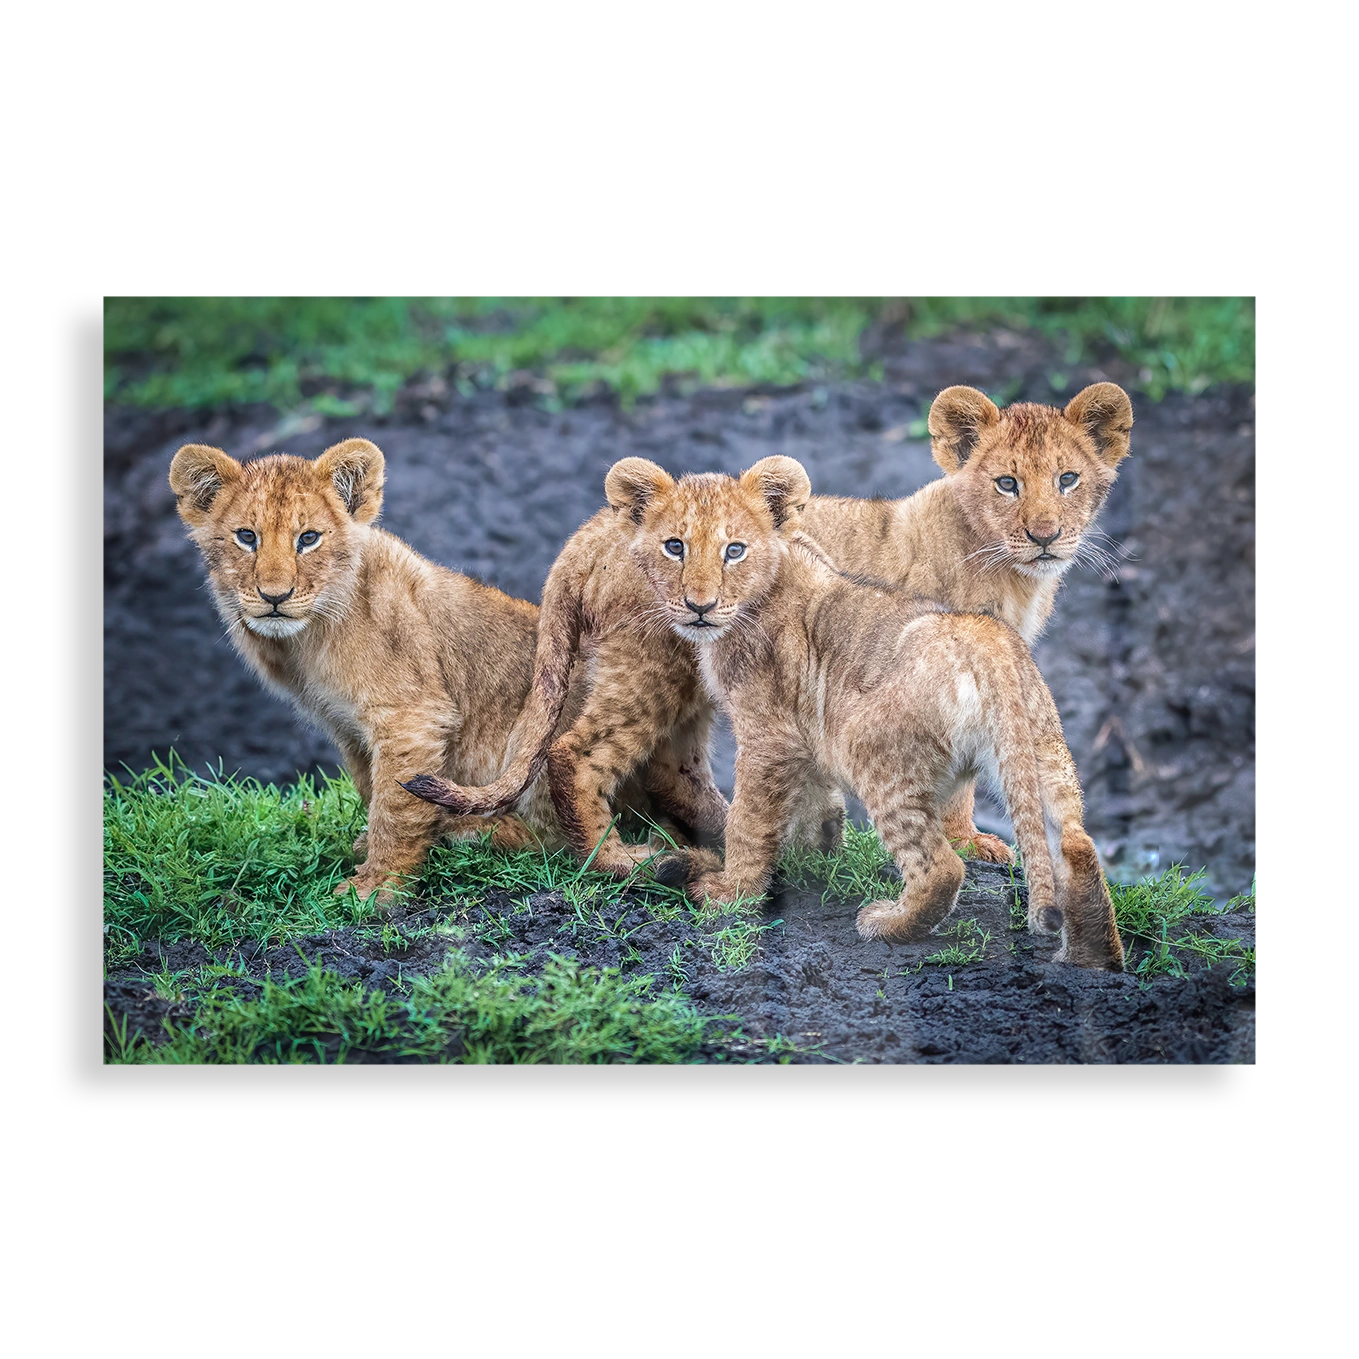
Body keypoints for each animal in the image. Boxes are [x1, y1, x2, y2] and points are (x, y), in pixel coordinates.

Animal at [167, 437, 681, 904]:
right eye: (246, 537)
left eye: (308, 538)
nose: (274, 596)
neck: (304, 641)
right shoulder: (347, 727)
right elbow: (370, 789)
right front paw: (369, 854)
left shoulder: (411, 716)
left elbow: (396, 809)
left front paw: (377, 889)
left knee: (561, 836)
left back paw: (469, 830)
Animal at [615, 455, 1123, 970]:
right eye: (675, 547)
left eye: (734, 550)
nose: (699, 606)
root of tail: (988, 642)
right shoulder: (808, 735)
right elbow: (811, 802)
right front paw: (815, 854)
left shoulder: (770, 734)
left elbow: (749, 819)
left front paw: (730, 893)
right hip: (1043, 750)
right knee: (1077, 846)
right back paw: (1092, 965)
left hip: (871, 746)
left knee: (942, 867)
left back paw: (885, 924)